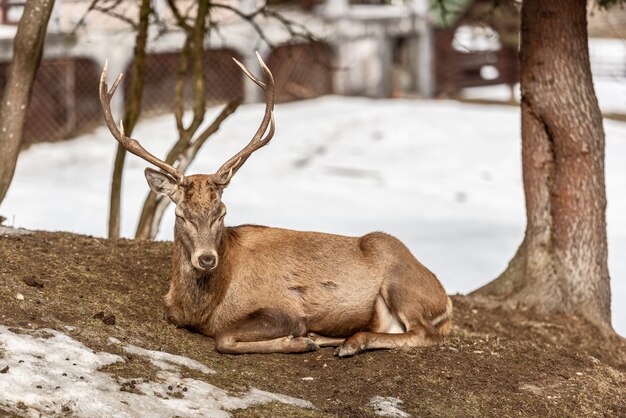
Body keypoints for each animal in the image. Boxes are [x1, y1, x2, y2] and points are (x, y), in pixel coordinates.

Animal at [97, 54, 450, 358]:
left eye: (222, 213)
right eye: (181, 214)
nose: (207, 259)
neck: (201, 309)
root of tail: (444, 298)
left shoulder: (284, 308)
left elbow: (225, 337)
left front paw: (300, 341)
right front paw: (307, 340)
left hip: (399, 275)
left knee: (425, 333)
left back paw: (349, 342)